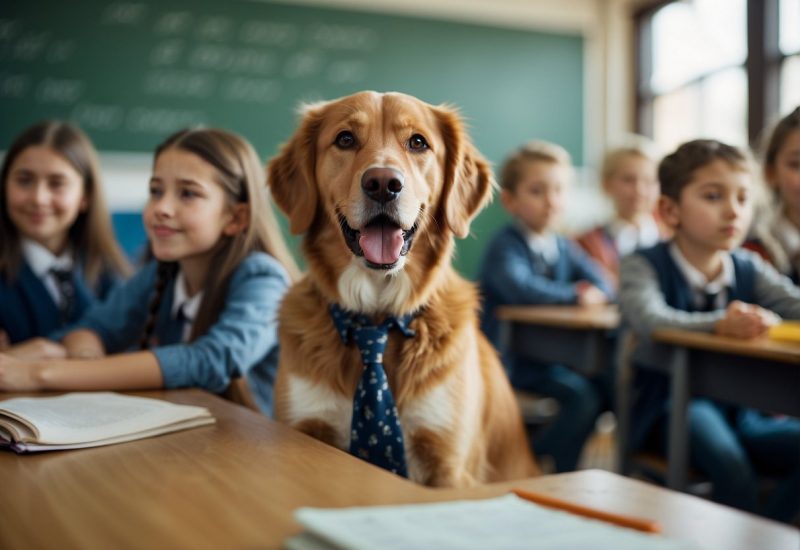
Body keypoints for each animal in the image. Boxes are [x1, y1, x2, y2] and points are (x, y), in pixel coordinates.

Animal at [268, 92, 536, 490]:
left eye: (418, 142)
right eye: (345, 139)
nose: (382, 183)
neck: (377, 318)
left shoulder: (449, 464)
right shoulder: (305, 425)